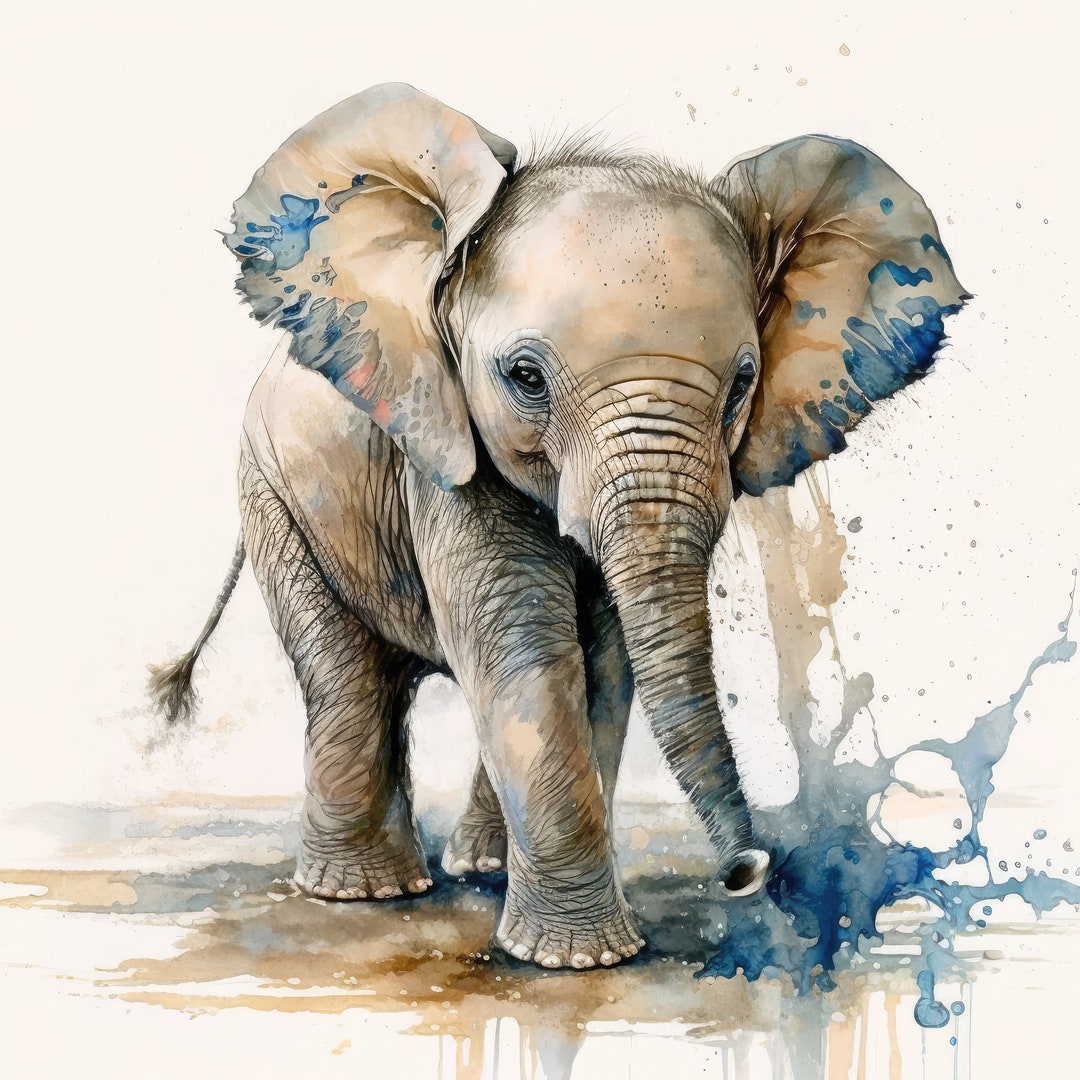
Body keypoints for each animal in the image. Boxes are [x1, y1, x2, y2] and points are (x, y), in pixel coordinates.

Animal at [151, 83, 967, 971]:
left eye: (742, 386)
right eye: (525, 377)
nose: (749, 869)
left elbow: (602, 663)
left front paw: (567, 943)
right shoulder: (444, 444)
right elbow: (524, 651)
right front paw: (579, 958)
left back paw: (476, 869)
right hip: (275, 494)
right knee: (347, 679)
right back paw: (362, 892)